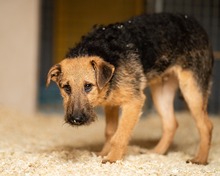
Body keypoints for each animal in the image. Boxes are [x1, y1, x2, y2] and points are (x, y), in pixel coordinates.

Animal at [46, 12, 213, 165]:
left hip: (192, 91)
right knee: (171, 124)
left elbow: (120, 135)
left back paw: (200, 159)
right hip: (161, 93)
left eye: (88, 86)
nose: (76, 119)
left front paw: (112, 158)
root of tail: (193, 21)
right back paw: (156, 152)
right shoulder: (111, 104)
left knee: (206, 126)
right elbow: (110, 132)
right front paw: (104, 153)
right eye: (66, 88)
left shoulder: (133, 102)